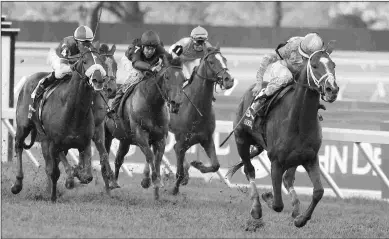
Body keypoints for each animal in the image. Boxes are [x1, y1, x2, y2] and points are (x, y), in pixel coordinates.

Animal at [11, 43, 107, 202]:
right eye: (85, 61)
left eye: (101, 60)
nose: (98, 80)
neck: (73, 111)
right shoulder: (54, 142)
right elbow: (57, 171)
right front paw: (65, 184)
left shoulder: (84, 143)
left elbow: (87, 175)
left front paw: (77, 174)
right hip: (23, 126)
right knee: (18, 145)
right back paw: (17, 184)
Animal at [105, 54, 186, 200]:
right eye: (167, 77)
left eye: (184, 79)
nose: (176, 103)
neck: (151, 104)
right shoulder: (140, 135)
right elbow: (149, 156)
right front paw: (150, 181)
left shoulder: (160, 138)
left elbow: (157, 158)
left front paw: (156, 189)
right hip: (106, 134)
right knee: (105, 155)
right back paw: (109, 182)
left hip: (125, 141)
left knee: (118, 159)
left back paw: (114, 183)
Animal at [167, 45, 233, 195]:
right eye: (212, 62)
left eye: (225, 59)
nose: (228, 80)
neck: (197, 109)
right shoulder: (182, 141)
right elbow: (179, 167)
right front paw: (174, 188)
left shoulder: (206, 139)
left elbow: (215, 165)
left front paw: (197, 164)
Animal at [227, 41, 336, 228]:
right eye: (314, 65)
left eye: (333, 65)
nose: (332, 89)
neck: (298, 121)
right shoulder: (276, 162)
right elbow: (278, 204)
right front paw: (267, 196)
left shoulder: (310, 158)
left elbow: (319, 192)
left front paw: (301, 219)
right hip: (241, 140)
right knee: (250, 170)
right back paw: (256, 208)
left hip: (294, 158)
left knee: (288, 179)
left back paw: (296, 209)